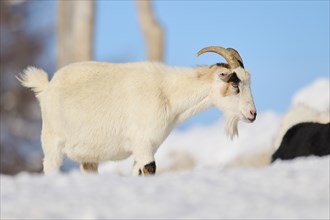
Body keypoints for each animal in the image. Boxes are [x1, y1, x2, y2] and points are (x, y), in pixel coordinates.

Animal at [17, 46, 258, 175]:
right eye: (235, 84)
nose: (252, 114)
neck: (167, 92)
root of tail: (47, 86)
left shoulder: (143, 150)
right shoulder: (143, 145)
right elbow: (150, 170)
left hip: (89, 157)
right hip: (52, 145)